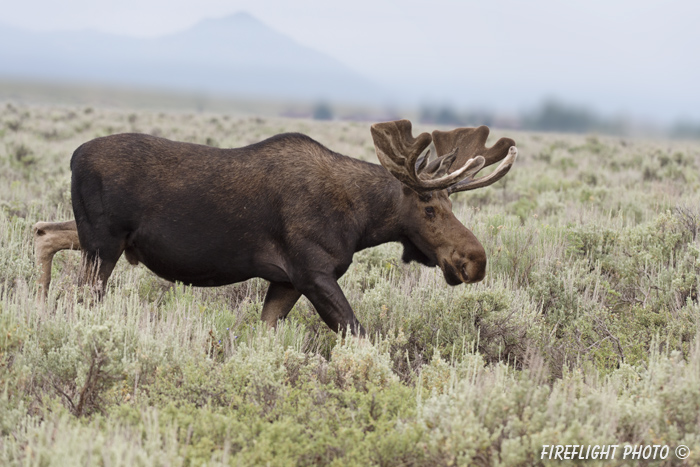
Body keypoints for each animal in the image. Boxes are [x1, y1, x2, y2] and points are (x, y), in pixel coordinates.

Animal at [32, 119, 516, 334]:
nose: (474, 261)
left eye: (450, 203)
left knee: (44, 231)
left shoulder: (286, 281)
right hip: (104, 243)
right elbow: (358, 333)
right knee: (80, 292)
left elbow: (265, 333)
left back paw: (35, 307)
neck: (361, 223)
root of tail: (73, 157)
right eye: (429, 207)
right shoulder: (313, 273)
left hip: (100, 240)